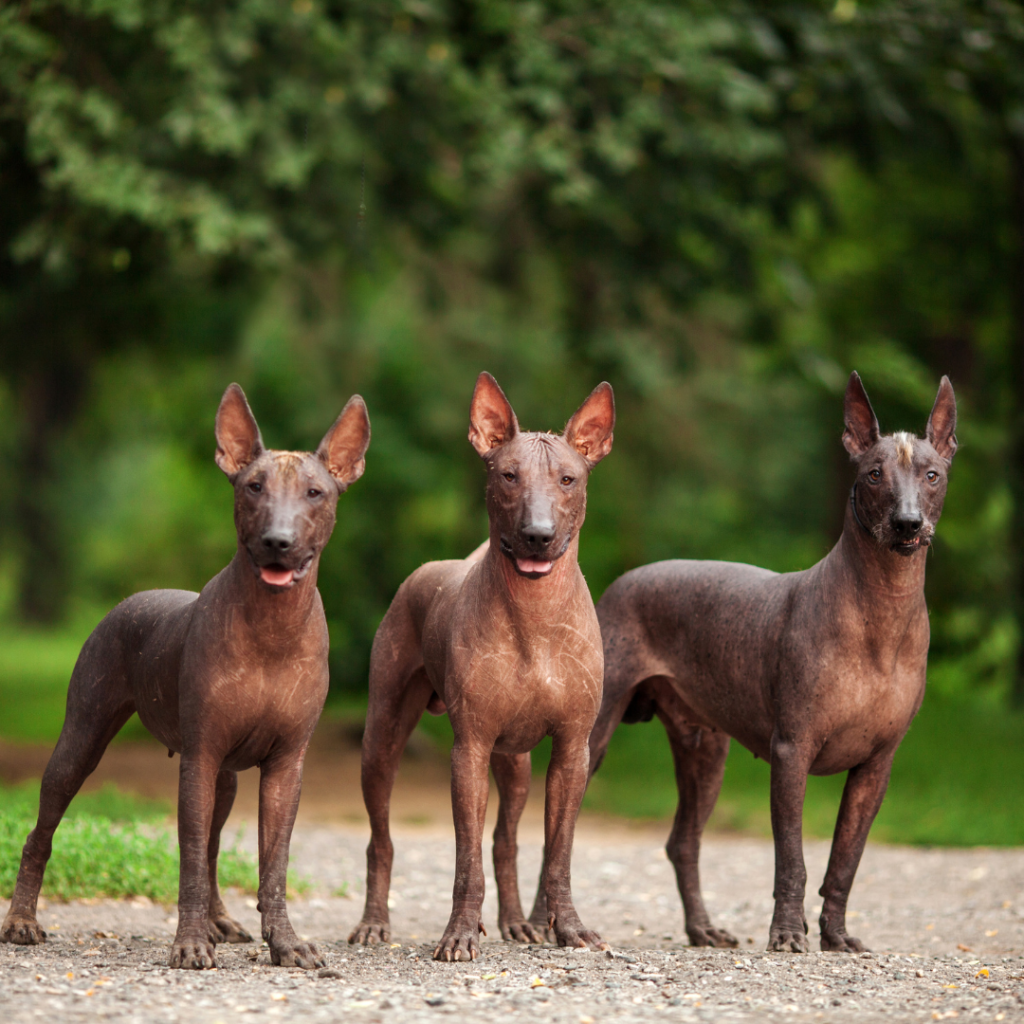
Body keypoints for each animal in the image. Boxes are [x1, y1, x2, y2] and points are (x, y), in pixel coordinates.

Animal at [0, 382, 368, 966]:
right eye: (253, 487)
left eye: (315, 492)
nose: (278, 540)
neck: (272, 627)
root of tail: (131, 599)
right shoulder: (199, 758)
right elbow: (191, 856)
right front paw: (190, 943)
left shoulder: (286, 766)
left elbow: (272, 864)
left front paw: (284, 943)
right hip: (82, 740)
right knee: (43, 830)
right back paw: (21, 920)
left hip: (225, 779)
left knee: (216, 846)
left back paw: (220, 921)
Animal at [348, 374, 610, 958]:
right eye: (508, 475)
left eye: (568, 479)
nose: (537, 533)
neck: (535, 615)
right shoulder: (467, 749)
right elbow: (465, 859)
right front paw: (460, 933)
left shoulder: (572, 750)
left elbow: (557, 854)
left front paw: (568, 927)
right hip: (381, 739)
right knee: (380, 840)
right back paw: (374, 923)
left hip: (515, 765)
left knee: (506, 841)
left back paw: (516, 922)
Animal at [581, 374, 954, 950]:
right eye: (874, 474)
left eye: (932, 475)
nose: (908, 524)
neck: (881, 612)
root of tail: (622, 582)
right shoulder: (791, 751)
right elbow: (792, 860)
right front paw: (787, 934)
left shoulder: (877, 767)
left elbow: (845, 862)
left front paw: (836, 936)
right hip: (594, 737)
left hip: (705, 752)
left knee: (682, 842)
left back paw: (702, 929)